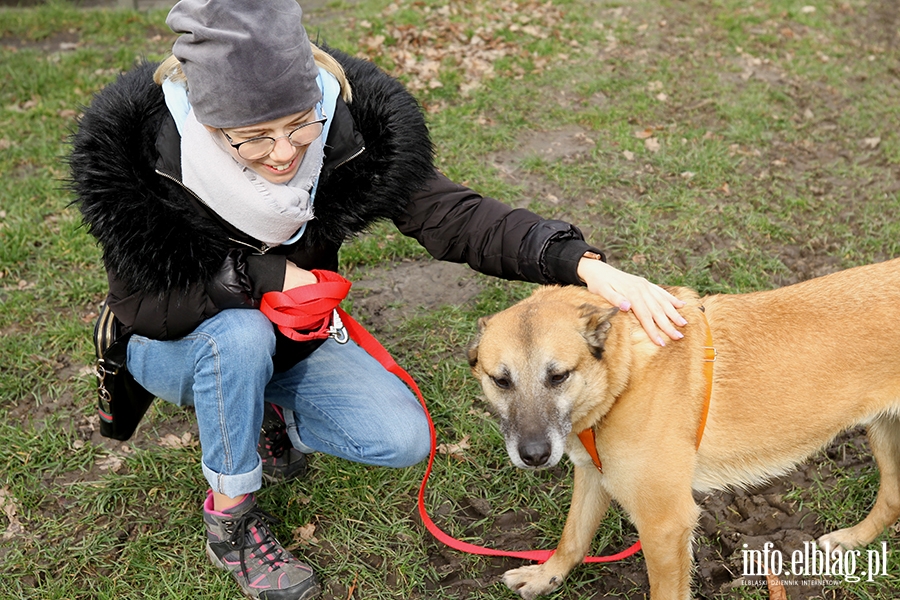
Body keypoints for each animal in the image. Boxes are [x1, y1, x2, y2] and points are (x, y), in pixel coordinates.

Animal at [468, 258, 900, 600]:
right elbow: (573, 537)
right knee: (893, 499)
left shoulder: (664, 525)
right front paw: (547, 576)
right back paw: (852, 539)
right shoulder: (593, 474)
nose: (534, 455)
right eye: (501, 380)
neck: (625, 374)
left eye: (558, 376)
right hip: (883, 434)